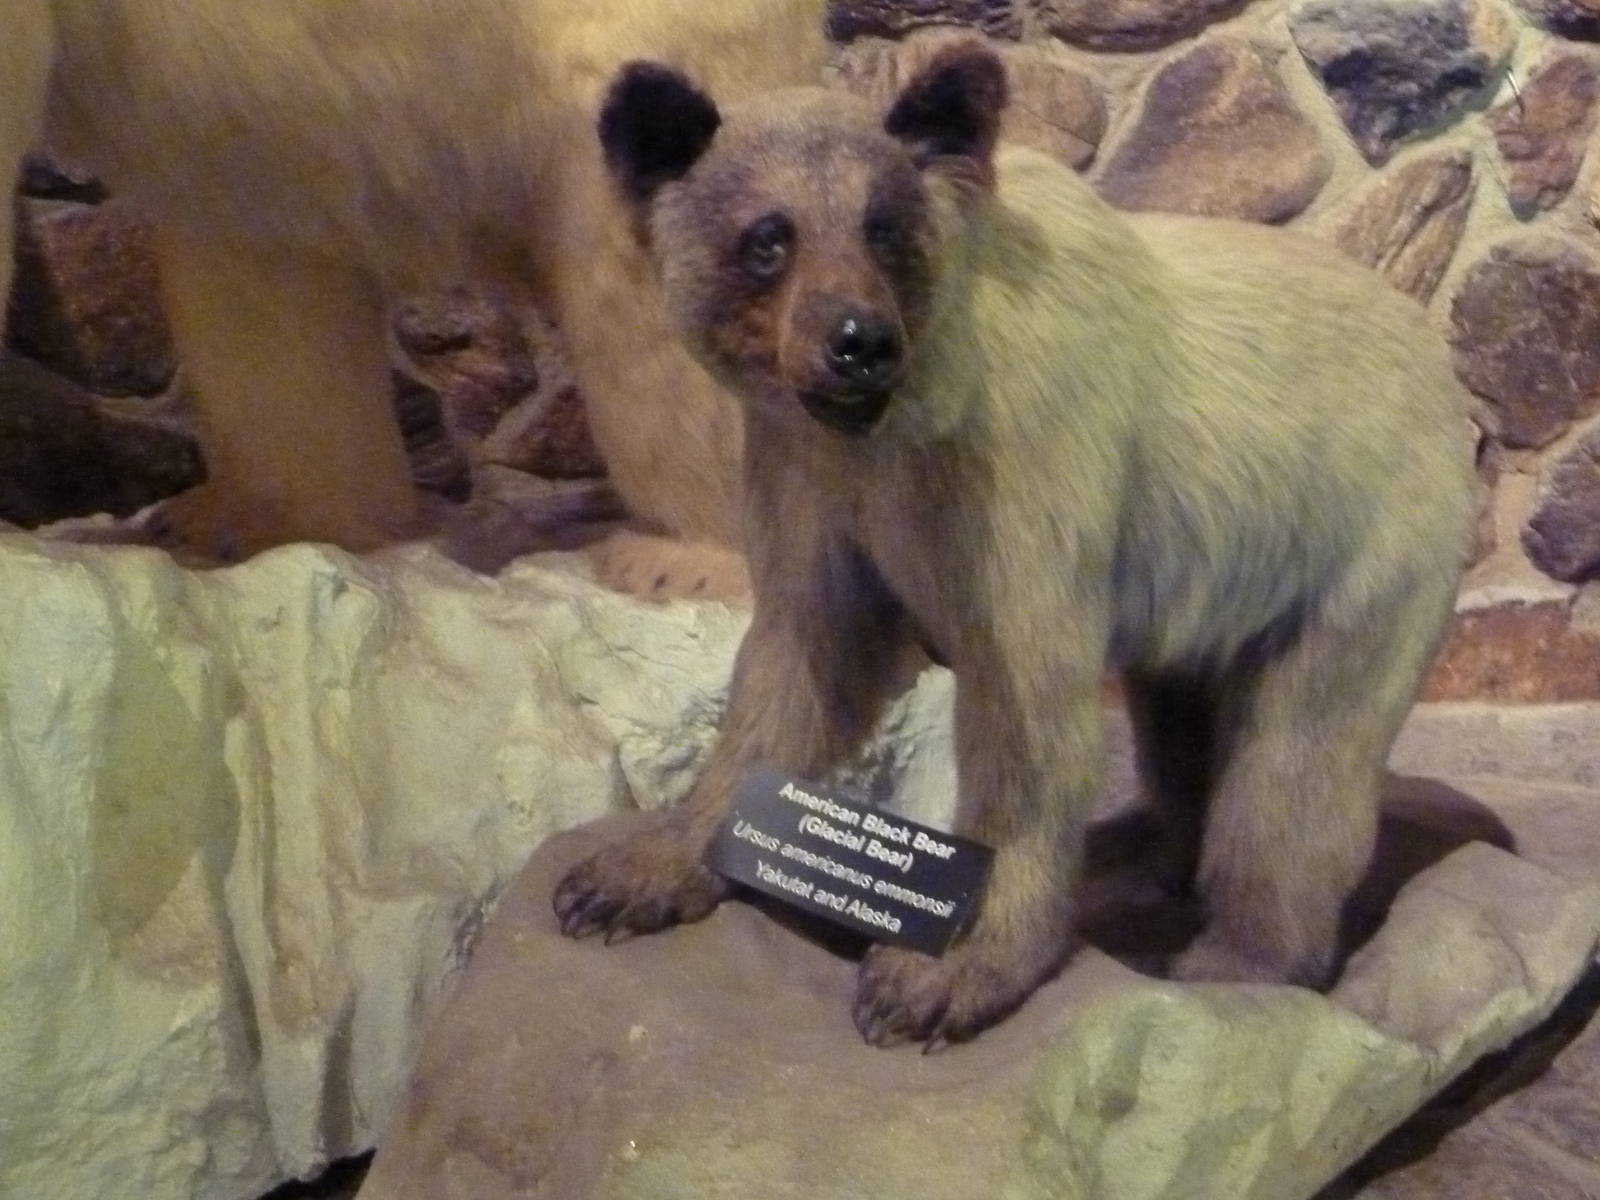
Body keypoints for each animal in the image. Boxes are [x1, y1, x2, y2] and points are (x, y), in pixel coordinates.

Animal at [552, 42, 1479, 1048]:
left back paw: (1240, 957)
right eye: (769, 236)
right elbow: (796, 668)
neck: (906, 420)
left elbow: (1025, 721)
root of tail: (1441, 362)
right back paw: (1141, 851)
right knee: (1183, 722)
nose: (858, 342)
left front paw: (939, 973)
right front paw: (629, 872)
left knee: (1300, 760)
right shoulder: (813, 482)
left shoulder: (1021, 476)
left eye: (882, 226)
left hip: (1356, 544)